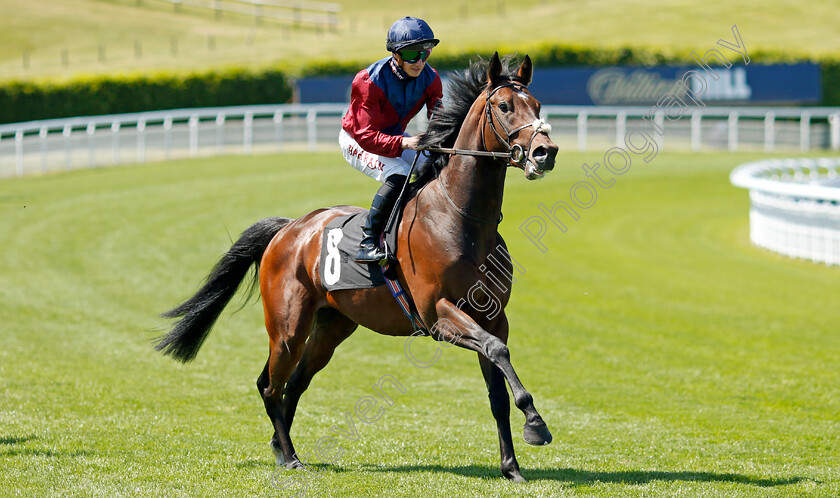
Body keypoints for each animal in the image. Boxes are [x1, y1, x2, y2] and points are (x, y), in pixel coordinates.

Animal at [158, 53, 560, 482]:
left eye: (537, 106)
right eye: (503, 106)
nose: (545, 152)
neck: (461, 218)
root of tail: (288, 229)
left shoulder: (493, 316)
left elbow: (497, 384)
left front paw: (511, 466)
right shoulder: (438, 315)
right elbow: (497, 351)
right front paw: (536, 424)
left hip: (331, 326)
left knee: (292, 384)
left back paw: (281, 449)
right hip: (288, 327)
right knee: (270, 385)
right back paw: (292, 456)